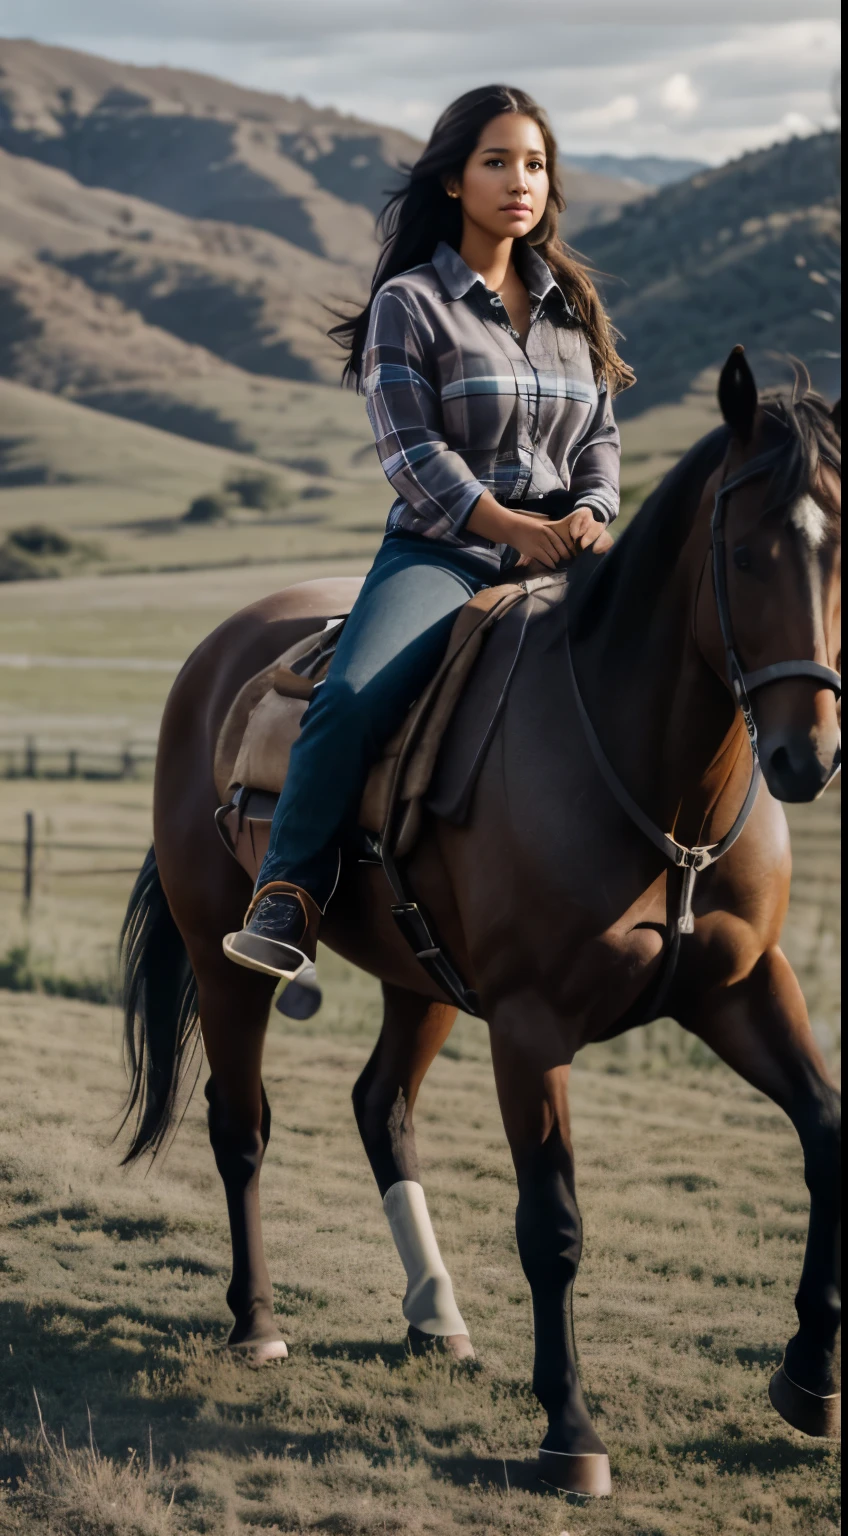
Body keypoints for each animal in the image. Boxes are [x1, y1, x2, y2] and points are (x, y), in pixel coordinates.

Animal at [119, 353, 841, 1492]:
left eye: (839, 547)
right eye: (741, 551)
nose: (804, 756)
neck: (653, 784)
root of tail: (217, 653)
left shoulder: (742, 986)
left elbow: (824, 1137)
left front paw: (809, 1379)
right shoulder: (532, 1028)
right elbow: (552, 1225)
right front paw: (571, 1432)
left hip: (420, 977)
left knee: (381, 1109)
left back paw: (436, 1316)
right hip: (227, 956)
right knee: (241, 1127)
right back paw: (258, 1322)